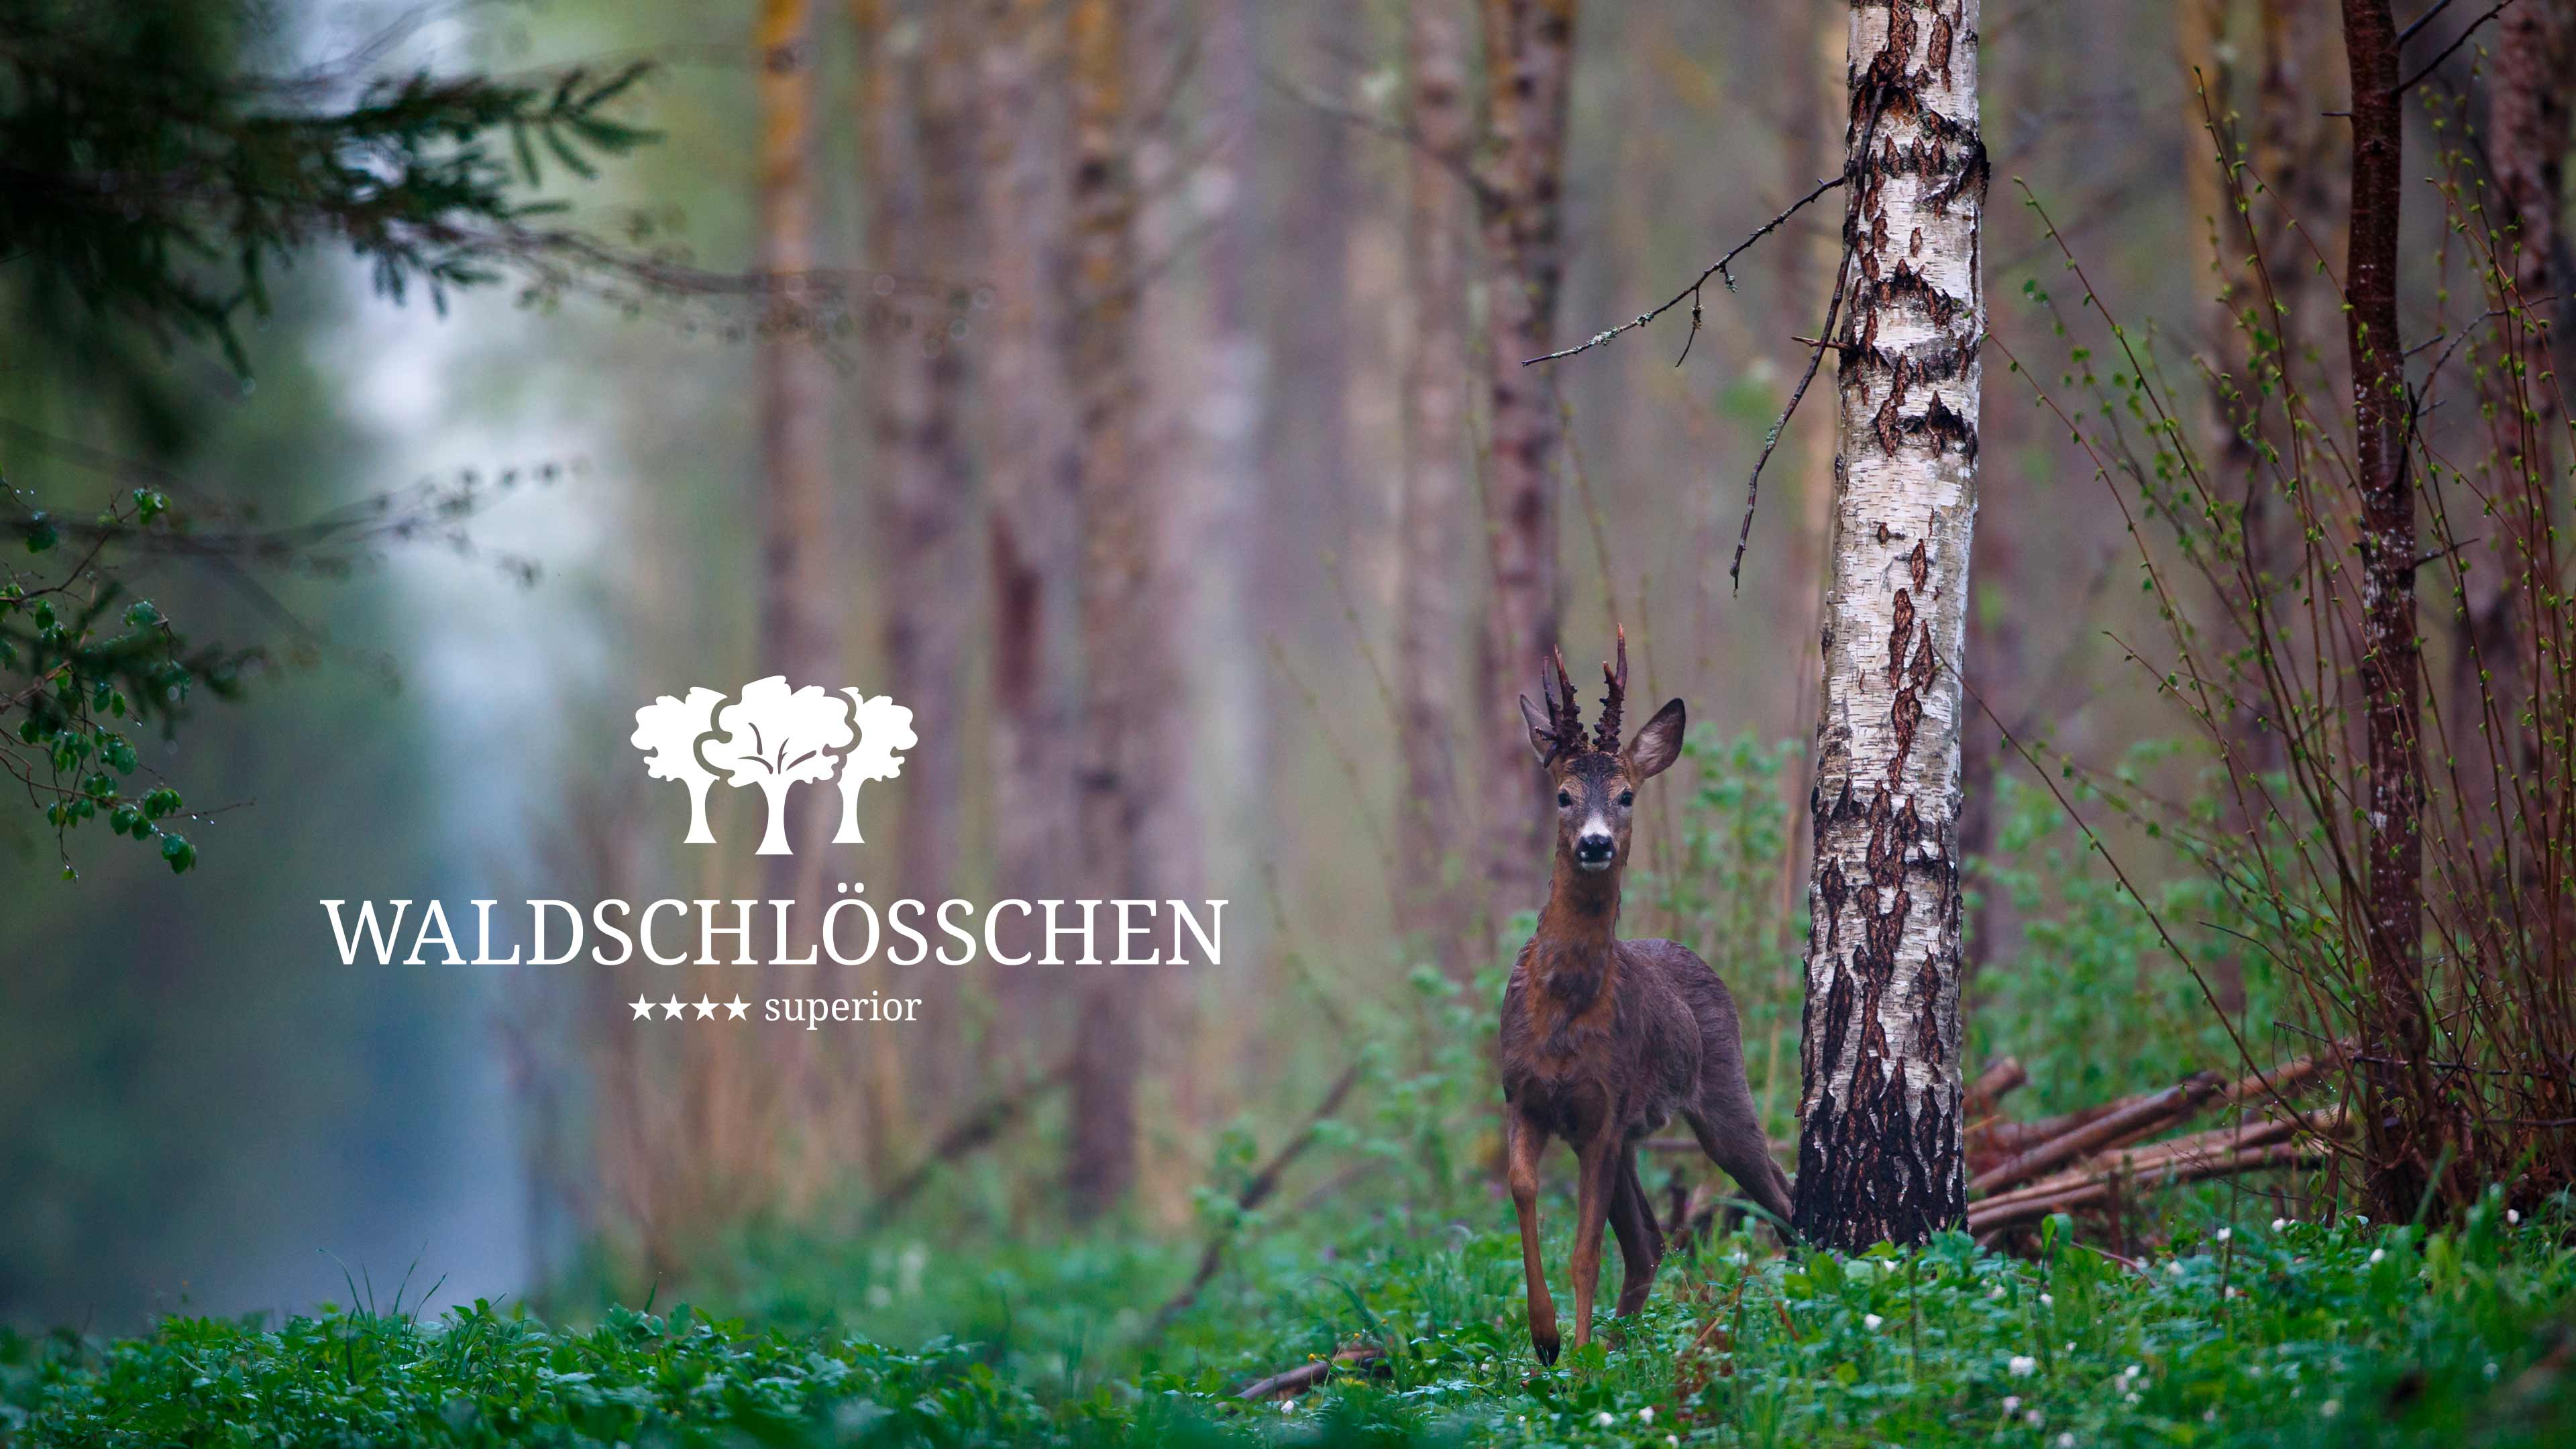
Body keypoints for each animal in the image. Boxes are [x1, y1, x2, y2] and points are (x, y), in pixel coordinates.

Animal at [1500, 629, 1794, 1363]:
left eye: (1627, 794)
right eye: (1563, 795)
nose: (1596, 844)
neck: (1562, 1010)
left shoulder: (1603, 1112)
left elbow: (1584, 1253)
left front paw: (1570, 1359)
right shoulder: (1525, 1097)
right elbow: (1524, 1189)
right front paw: (1547, 1338)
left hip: (1721, 1092)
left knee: (1778, 1194)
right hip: (1635, 1135)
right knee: (1649, 1242)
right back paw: (1617, 1344)